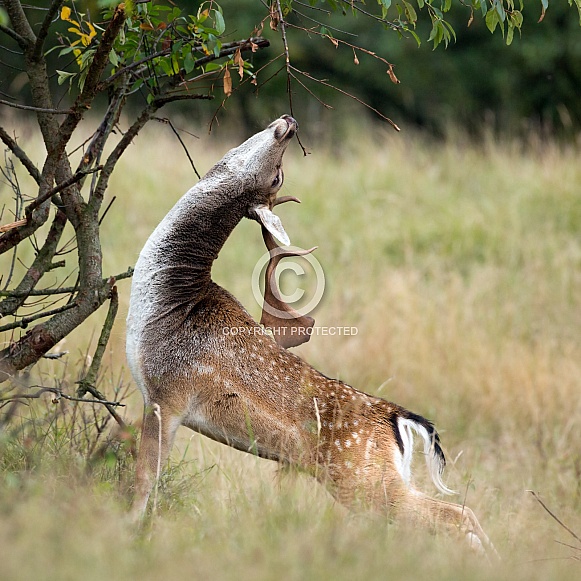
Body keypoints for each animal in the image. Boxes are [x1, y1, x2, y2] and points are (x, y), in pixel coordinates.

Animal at [127, 113, 494, 552]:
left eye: (277, 177)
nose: (288, 122)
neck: (164, 307)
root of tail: (398, 418)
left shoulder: (167, 394)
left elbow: (144, 483)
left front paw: (126, 533)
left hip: (363, 481)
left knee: (456, 514)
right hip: (384, 479)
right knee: (460, 512)